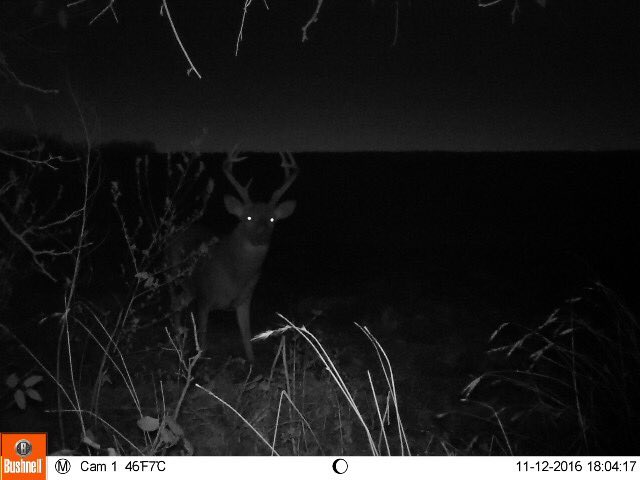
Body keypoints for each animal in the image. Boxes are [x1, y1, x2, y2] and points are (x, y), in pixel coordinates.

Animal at [166, 152, 298, 363]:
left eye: (272, 219)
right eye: (248, 218)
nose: (262, 237)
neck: (234, 273)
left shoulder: (245, 299)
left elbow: (247, 340)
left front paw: (252, 364)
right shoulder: (204, 297)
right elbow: (202, 342)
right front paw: (197, 365)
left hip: (189, 288)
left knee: (177, 304)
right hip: (173, 275)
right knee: (173, 304)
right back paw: (177, 346)